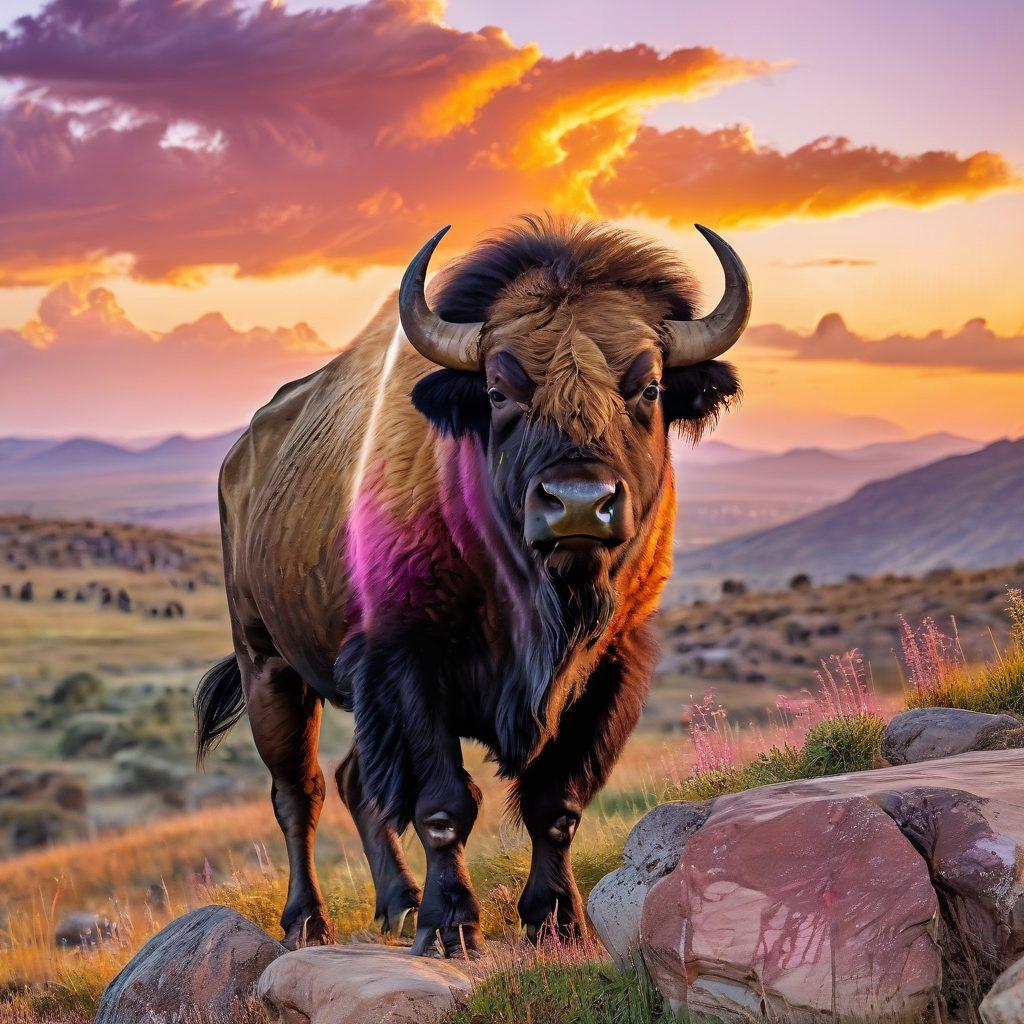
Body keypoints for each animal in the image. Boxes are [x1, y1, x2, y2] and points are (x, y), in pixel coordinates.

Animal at [195, 215, 748, 955]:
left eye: (650, 386)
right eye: (497, 390)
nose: (578, 503)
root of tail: (241, 458)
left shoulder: (612, 666)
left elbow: (555, 802)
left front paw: (558, 921)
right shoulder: (407, 664)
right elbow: (444, 803)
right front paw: (452, 926)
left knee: (356, 782)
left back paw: (398, 905)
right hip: (268, 664)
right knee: (299, 792)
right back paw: (308, 921)